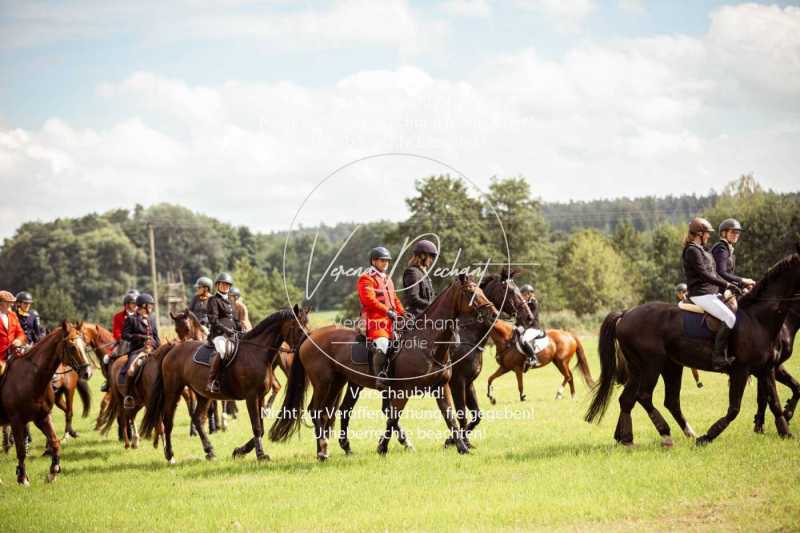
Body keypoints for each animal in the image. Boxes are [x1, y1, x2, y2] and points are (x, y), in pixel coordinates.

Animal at [0, 320, 93, 486]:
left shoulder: (42, 417)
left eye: (84, 344)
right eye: (72, 347)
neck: (30, 378)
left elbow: (55, 442)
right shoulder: (17, 421)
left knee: (68, 412)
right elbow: (21, 450)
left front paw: (53, 472)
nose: (87, 373)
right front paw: (23, 478)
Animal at [141, 306, 310, 464]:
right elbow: (257, 427)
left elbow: (261, 428)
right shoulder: (251, 397)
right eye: (298, 327)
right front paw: (260, 455)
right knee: (168, 420)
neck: (257, 352)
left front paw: (240, 451)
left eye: (307, 326)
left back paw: (209, 451)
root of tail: (174, 347)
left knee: (197, 418)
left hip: (203, 395)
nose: (306, 345)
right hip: (173, 390)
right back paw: (170, 455)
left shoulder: (260, 397)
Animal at [272, 274, 496, 458]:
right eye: (471, 293)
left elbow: (449, 417)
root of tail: (310, 336)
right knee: (316, 410)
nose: (493, 313)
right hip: (324, 384)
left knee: (335, 411)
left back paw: (338, 447)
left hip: (340, 383)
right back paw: (323, 451)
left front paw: (462, 447)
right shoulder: (403, 391)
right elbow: (392, 418)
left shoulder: (441, 387)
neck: (429, 344)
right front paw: (383, 446)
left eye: (482, 291)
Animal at [580, 246, 800, 444]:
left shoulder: (766, 369)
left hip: (658, 367)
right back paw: (666, 434)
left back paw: (629, 437)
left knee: (638, 399)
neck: (759, 319)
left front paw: (785, 431)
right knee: (644, 396)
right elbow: (735, 409)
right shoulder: (742, 370)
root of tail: (626, 314)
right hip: (652, 364)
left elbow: (775, 401)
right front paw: (708, 436)